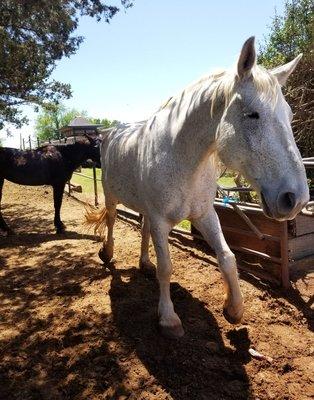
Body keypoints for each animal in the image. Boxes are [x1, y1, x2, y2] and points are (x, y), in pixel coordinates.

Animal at [86, 37, 310, 338]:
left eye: (289, 115)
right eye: (253, 114)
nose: (296, 199)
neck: (182, 158)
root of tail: (110, 132)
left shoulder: (205, 214)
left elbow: (227, 257)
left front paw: (234, 309)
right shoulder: (161, 220)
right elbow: (166, 267)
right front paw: (169, 319)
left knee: (143, 230)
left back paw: (144, 263)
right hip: (111, 196)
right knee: (110, 222)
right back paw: (107, 253)